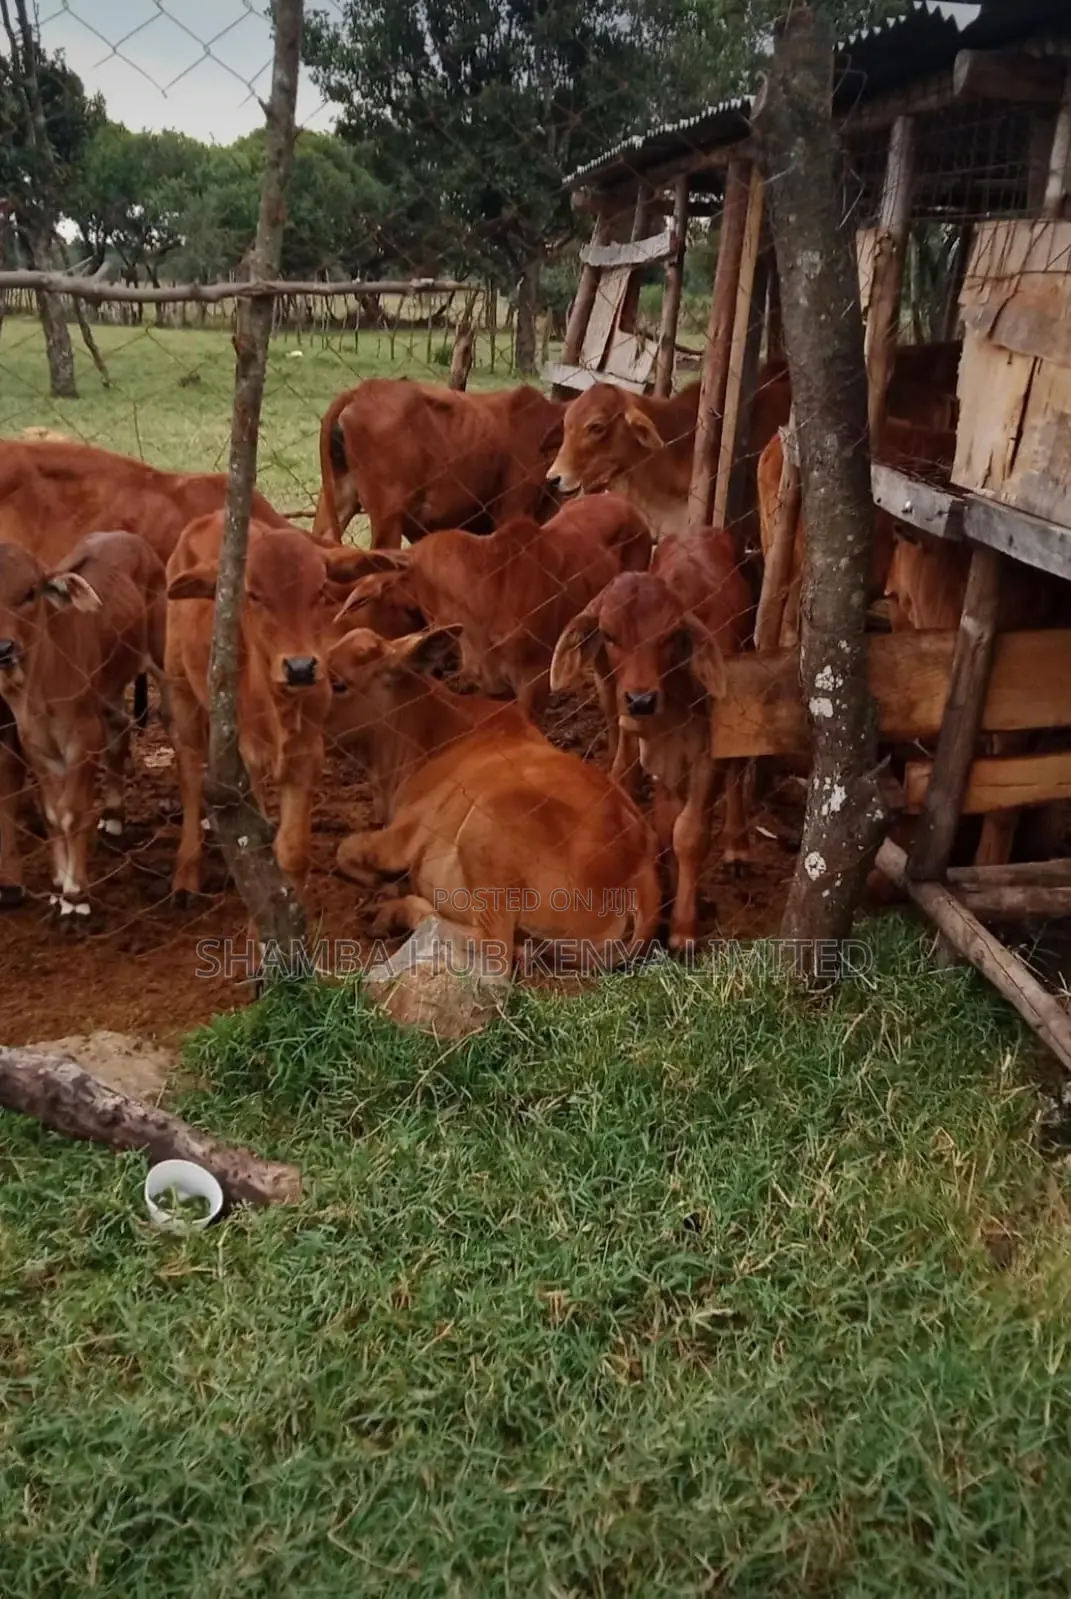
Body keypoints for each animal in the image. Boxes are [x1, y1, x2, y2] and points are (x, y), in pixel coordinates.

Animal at [0, 531, 166, 918]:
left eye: (30, 592)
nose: (3, 647)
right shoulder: (34, 743)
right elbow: (51, 813)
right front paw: (59, 885)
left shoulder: (83, 738)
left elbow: (71, 813)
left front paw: (76, 897)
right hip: (110, 690)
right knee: (120, 730)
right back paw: (114, 816)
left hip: (162, 661)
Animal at [164, 514, 365, 904]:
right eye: (253, 595)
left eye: (320, 591)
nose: (301, 667)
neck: (279, 709)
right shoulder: (250, 758)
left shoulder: (308, 755)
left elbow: (292, 851)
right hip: (179, 687)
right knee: (190, 768)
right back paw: (186, 874)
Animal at [326, 626, 660, 969]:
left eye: (338, 683)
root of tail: (641, 874)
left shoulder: (403, 837)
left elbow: (345, 848)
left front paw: (382, 886)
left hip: (486, 833)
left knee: (491, 946)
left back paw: (389, 913)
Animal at [550, 528, 752, 950]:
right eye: (608, 635)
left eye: (671, 636)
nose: (640, 699)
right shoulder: (642, 743)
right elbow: (658, 823)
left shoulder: (708, 750)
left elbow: (689, 834)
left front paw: (684, 929)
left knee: (737, 771)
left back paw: (738, 847)